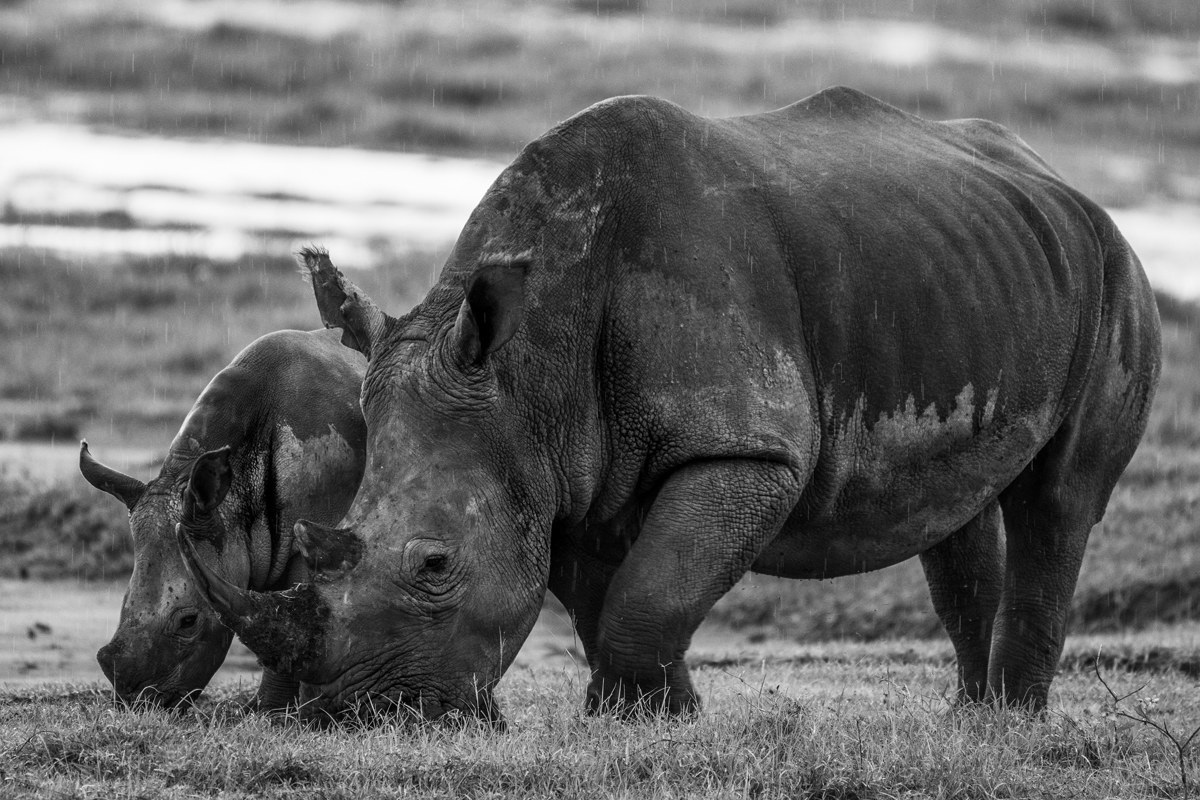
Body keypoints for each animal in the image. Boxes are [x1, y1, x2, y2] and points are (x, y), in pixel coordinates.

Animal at [82, 328, 365, 709]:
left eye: (189, 622)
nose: (138, 702)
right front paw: (271, 708)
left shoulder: (317, 532)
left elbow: (294, 614)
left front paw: (272, 712)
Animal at [181, 87, 1161, 721]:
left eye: (434, 565)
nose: (350, 715)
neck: (528, 365)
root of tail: (1066, 185)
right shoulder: (558, 461)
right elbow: (599, 594)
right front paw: (646, 716)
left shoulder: (743, 447)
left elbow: (650, 590)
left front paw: (645, 715)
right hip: (976, 272)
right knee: (956, 513)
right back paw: (970, 720)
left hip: (1116, 276)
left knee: (1060, 501)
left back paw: (1013, 724)